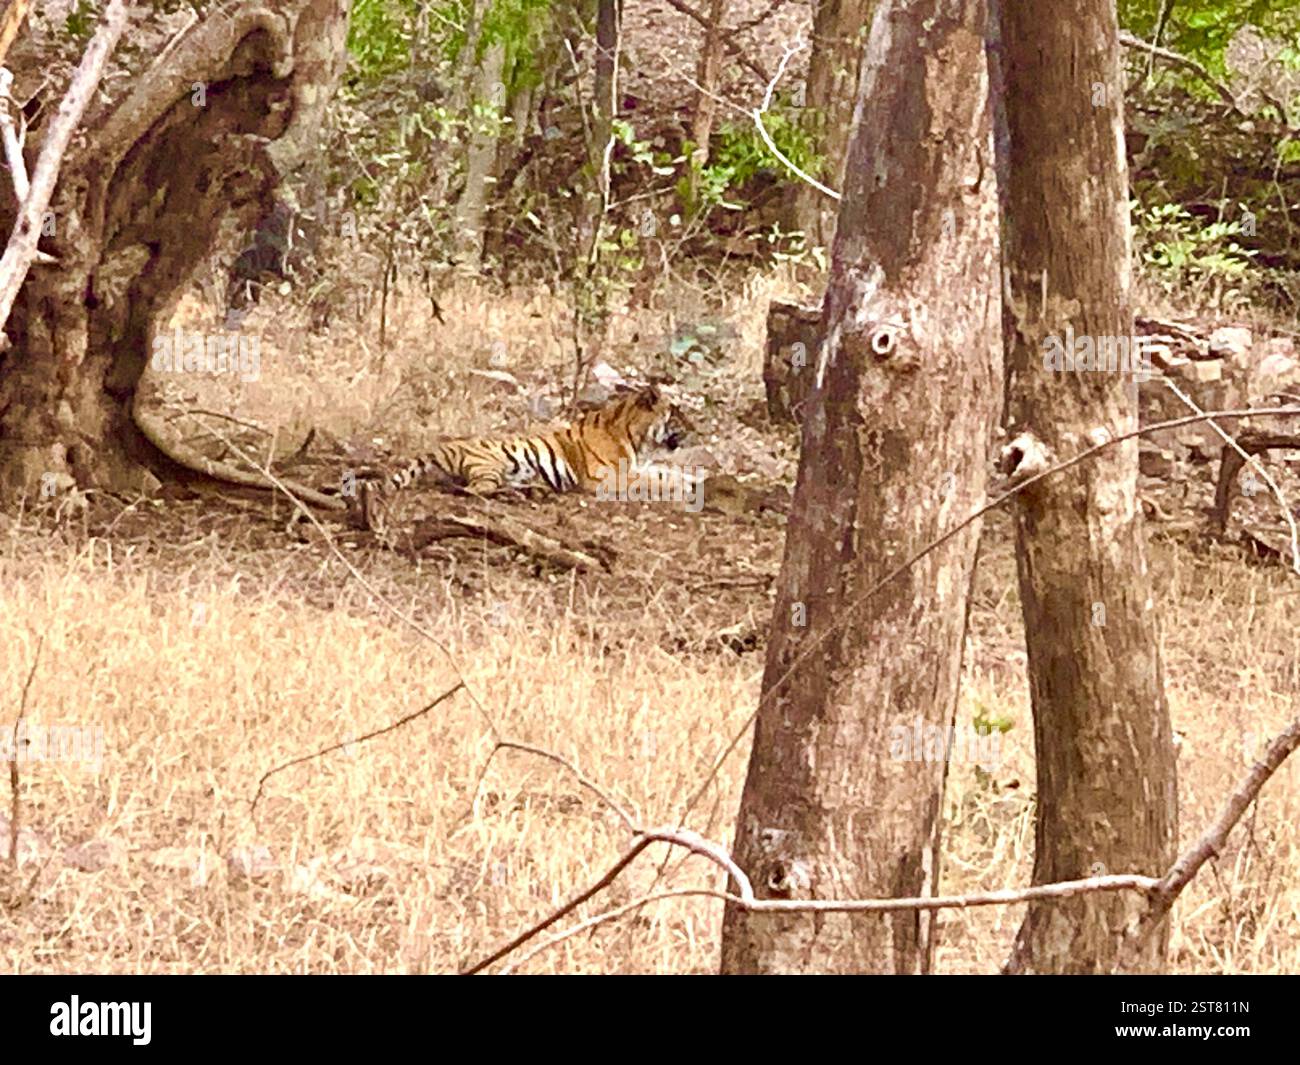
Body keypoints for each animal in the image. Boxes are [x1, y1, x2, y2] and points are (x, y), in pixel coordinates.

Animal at [356, 383, 693, 533]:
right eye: (676, 413)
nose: (695, 428)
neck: (635, 435)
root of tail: (440, 448)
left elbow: (666, 471)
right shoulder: (609, 477)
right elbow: (657, 479)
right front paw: (686, 487)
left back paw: (533, 491)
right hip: (491, 463)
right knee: (470, 491)